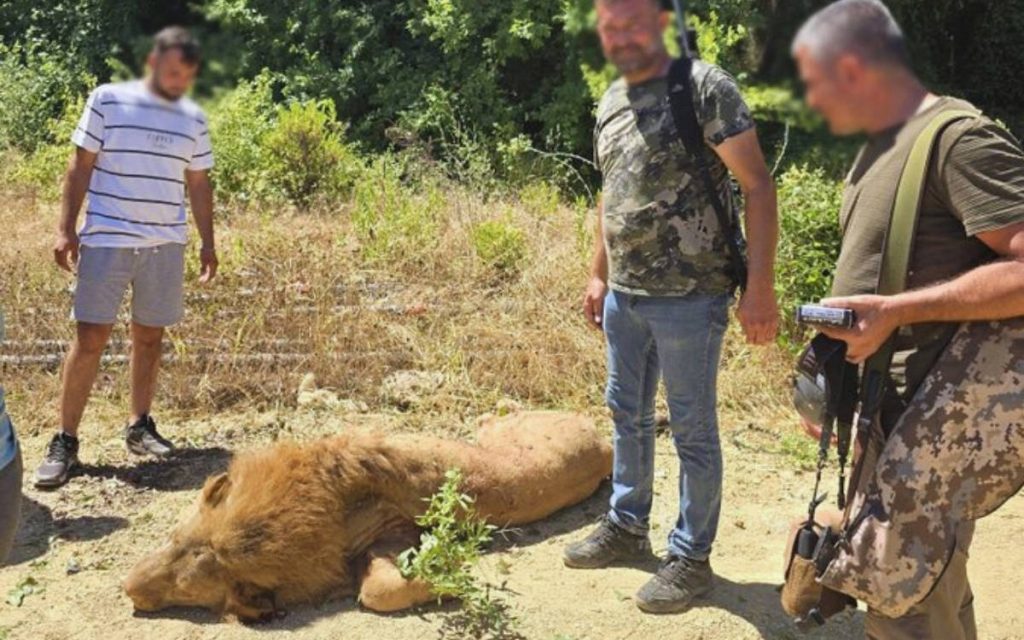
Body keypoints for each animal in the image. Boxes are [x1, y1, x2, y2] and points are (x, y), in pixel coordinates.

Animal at [122, 411, 612, 621]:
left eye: (183, 591)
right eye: (174, 541)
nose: (128, 588)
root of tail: (605, 440)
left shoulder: (391, 527)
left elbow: (380, 593)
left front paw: (449, 575)